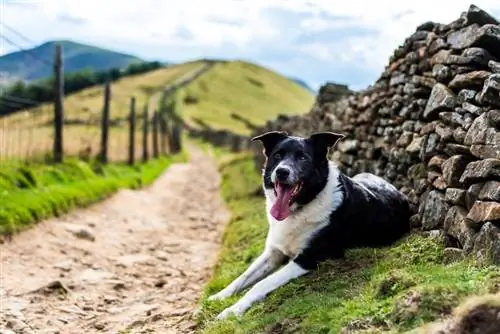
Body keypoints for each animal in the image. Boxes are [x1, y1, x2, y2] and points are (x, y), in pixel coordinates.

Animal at [209, 131, 412, 320]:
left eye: (303, 158)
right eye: (277, 155)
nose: (282, 172)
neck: (300, 208)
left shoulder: (306, 259)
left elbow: (261, 283)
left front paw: (232, 310)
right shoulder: (273, 253)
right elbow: (242, 277)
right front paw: (218, 297)